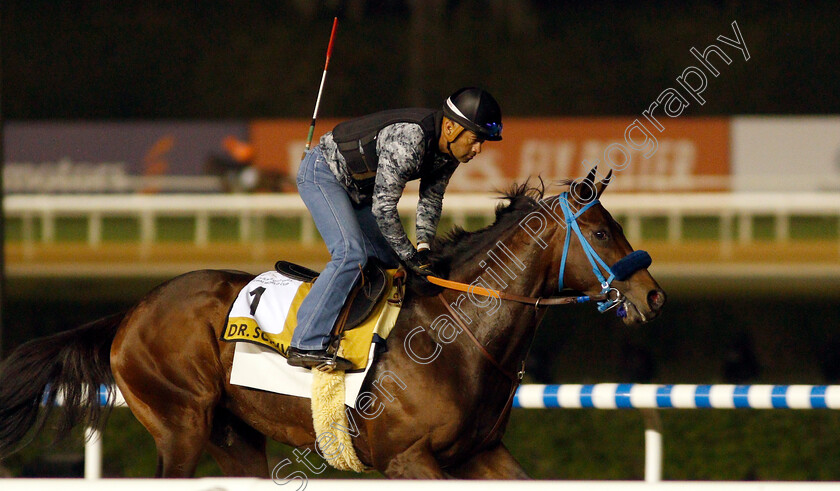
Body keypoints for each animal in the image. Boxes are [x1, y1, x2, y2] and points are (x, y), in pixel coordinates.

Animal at [1, 174, 664, 480]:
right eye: (600, 230)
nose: (652, 294)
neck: (455, 335)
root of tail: (134, 310)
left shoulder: (480, 453)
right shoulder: (408, 458)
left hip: (235, 436)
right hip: (180, 425)